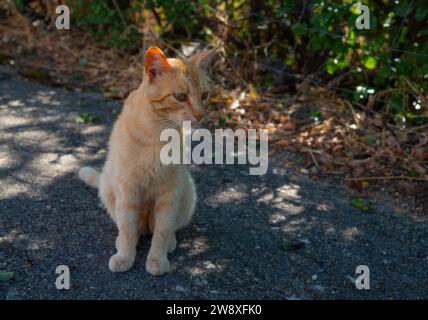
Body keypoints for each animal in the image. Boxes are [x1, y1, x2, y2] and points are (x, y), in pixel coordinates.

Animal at [78, 45, 216, 276]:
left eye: (204, 95)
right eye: (180, 96)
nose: (200, 115)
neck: (157, 133)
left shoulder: (169, 194)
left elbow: (162, 231)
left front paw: (157, 259)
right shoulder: (127, 190)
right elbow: (127, 228)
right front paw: (125, 256)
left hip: (186, 191)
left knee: (165, 229)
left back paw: (170, 242)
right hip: (109, 189)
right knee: (131, 228)